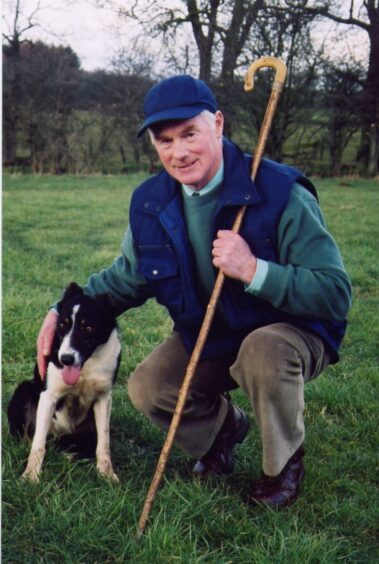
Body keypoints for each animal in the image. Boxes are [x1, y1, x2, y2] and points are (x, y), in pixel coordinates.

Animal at [7, 284, 121, 482]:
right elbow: (38, 444)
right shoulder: (49, 396)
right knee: (31, 437)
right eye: (62, 325)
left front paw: (106, 475)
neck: (85, 366)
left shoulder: (103, 398)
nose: (66, 359)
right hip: (24, 390)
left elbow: (104, 444)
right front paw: (30, 476)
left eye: (88, 328)